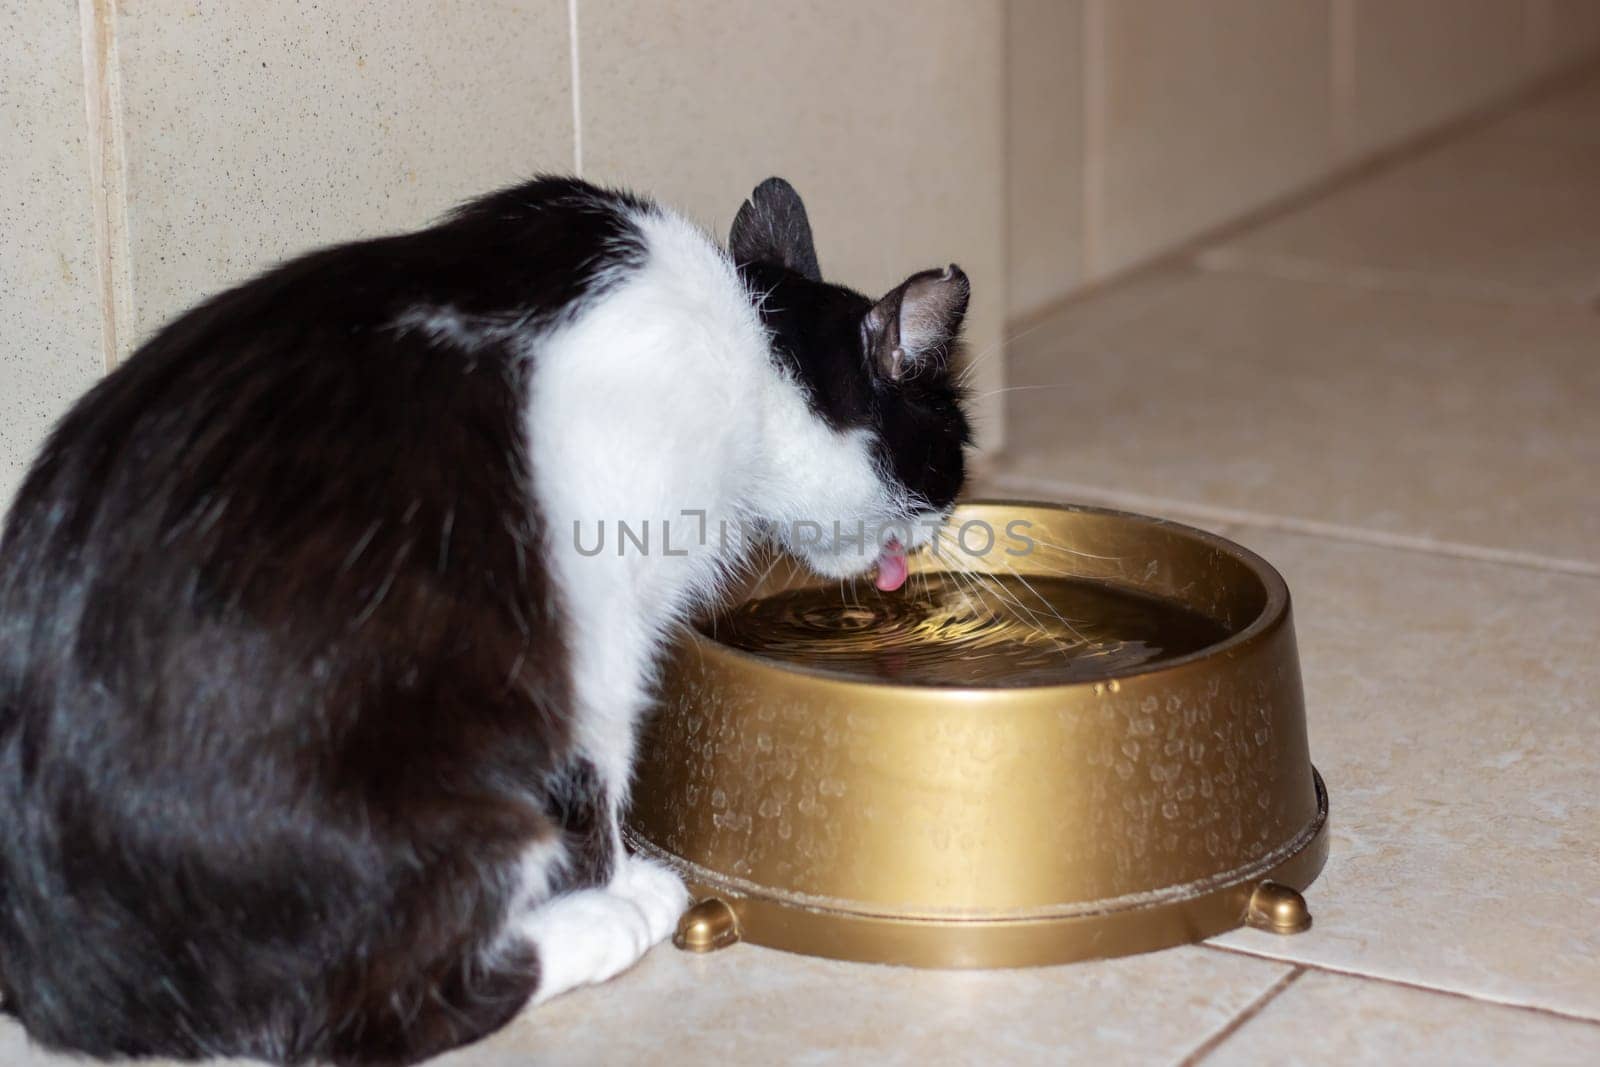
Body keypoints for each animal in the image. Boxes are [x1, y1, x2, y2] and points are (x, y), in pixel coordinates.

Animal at [0, 179, 966, 1062]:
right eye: (948, 459)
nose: (932, 544)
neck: (749, 339)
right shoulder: (601, 589)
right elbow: (602, 753)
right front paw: (611, 879)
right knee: (362, 1019)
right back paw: (602, 922)